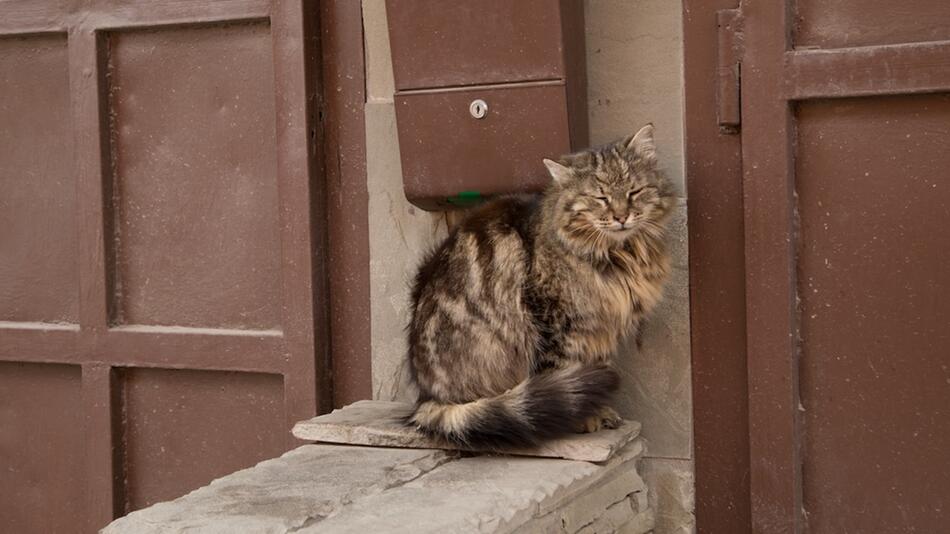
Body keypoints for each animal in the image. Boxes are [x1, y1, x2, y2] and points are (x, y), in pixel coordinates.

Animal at [406, 124, 672, 448]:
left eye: (634, 192)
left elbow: (593, 370)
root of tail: (426, 397)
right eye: (601, 198)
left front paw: (602, 411)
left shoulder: (600, 329)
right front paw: (585, 419)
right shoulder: (556, 321)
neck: (620, 255)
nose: (621, 216)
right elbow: (567, 371)